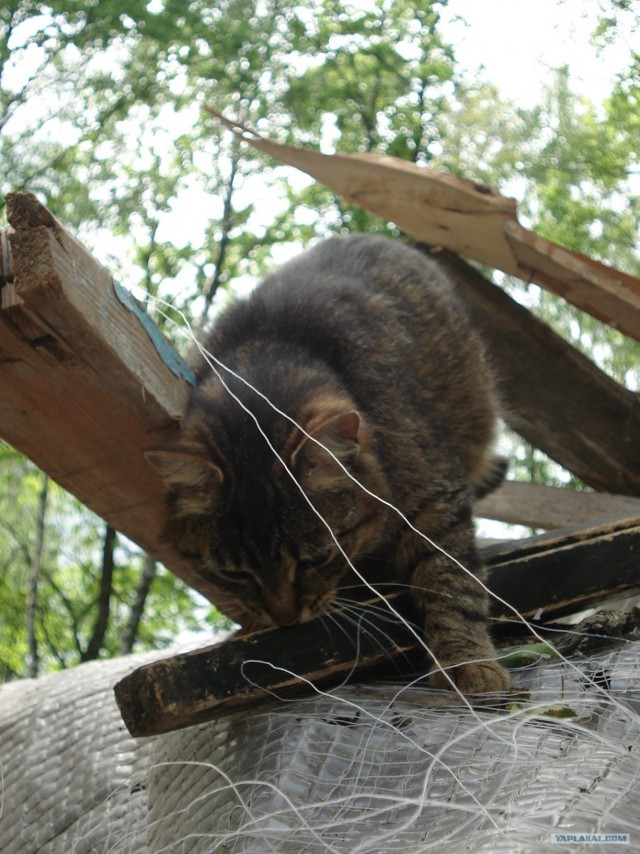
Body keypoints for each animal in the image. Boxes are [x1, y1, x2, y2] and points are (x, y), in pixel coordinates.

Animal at [149, 234, 510, 696]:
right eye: (236, 574)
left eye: (315, 559)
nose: (286, 620)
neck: (271, 345)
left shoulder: (436, 498)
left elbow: (452, 583)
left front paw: (466, 659)